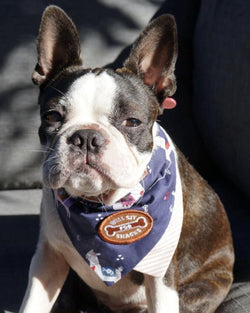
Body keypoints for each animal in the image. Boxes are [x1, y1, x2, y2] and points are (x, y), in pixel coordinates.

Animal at [19, 5, 234, 312]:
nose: (86, 136)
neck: (100, 205)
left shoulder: (161, 273)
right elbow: (33, 303)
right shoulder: (48, 259)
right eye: (52, 117)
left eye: (132, 122)